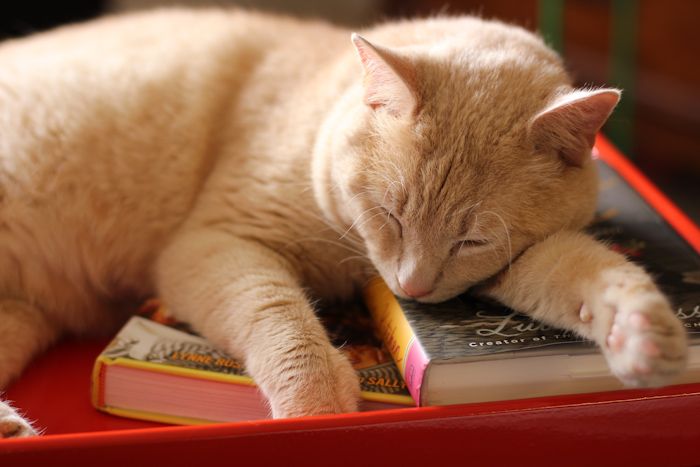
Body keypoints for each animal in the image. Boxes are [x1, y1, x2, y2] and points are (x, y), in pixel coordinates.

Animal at [0, 8, 688, 438]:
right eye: (389, 214)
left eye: (472, 240)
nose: (411, 288)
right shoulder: (213, 243)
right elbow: (278, 316)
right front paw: (317, 404)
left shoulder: (514, 261)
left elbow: (584, 271)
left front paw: (643, 333)